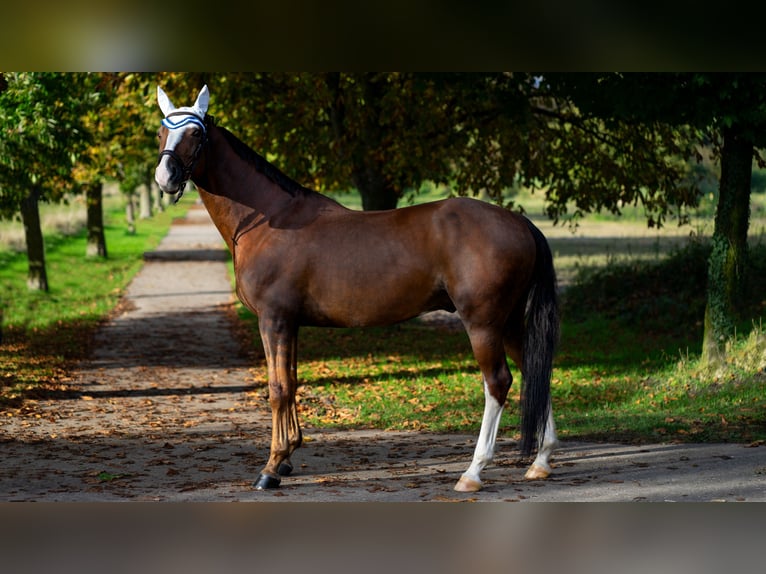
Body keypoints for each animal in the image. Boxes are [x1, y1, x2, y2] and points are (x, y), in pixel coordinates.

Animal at [158, 85, 564, 496]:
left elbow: (278, 389)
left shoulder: (273, 320)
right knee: (534, 370)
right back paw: (541, 461)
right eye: (162, 131)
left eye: (195, 134)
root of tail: (519, 222)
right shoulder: (291, 324)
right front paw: (288, 456)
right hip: (509, 321)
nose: (165, 177)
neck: (270, 220)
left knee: (498, 383)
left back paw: (473, 471)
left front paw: (271, 468)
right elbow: (293, 382)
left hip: (483, 322)